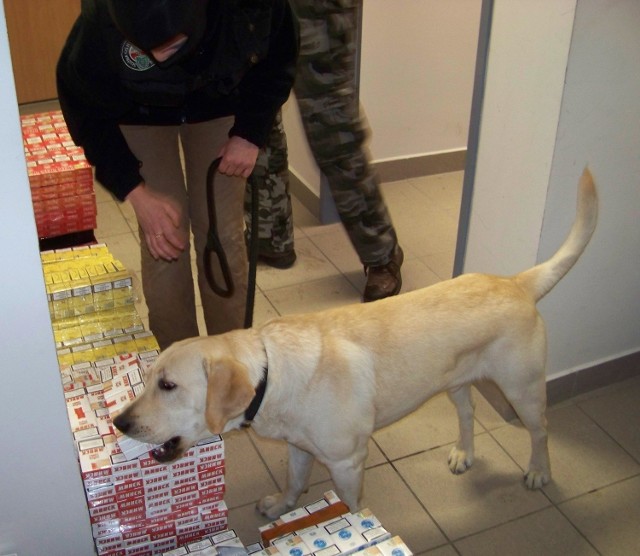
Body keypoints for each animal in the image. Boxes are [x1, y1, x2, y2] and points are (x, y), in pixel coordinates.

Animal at [112, 168, 596, 516]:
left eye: (168, 386)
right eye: (148, 378)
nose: (119, 422)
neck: (272, 373)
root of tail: (515, 281)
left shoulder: (347, 462)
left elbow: (350, 503)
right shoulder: (298, 447)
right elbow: (294, 481)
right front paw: (282, 506)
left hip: (522, 388)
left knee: (540, 429)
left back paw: (538, 472)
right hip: (456, 381)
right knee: (468, 412)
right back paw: (464, 453)